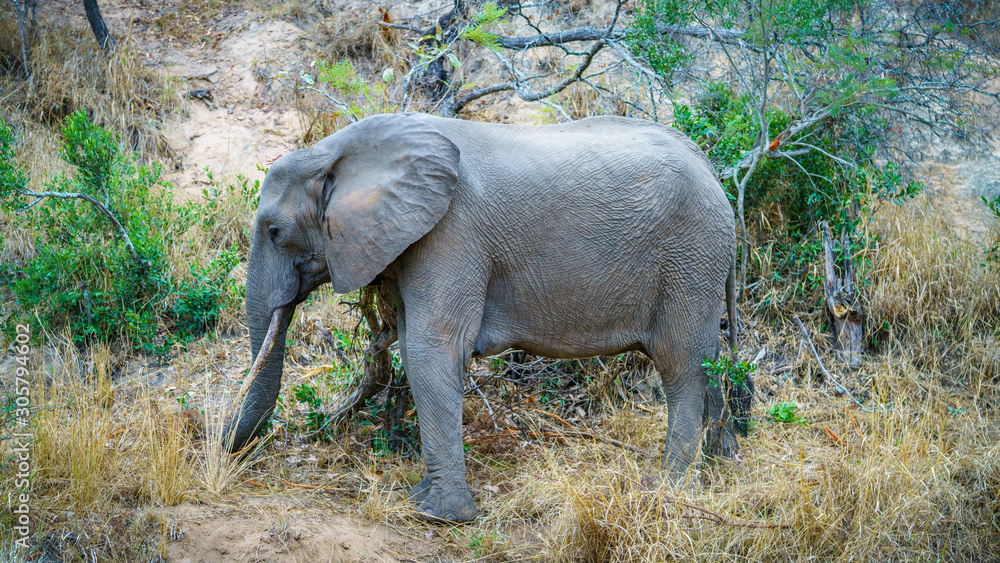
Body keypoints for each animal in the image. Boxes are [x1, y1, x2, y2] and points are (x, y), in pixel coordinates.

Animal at [223, 112, 748, 522]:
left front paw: (440, 516)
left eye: (275, 232)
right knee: (708, 359)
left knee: (681, 367)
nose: (221, 438)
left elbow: (431, 350)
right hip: (699, 263)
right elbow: (414, 345)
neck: (337, 151)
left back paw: (668, 490)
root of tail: (712, 170)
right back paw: (722, 468)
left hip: (689, 258)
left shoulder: (451, 234)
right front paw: (423, 499)